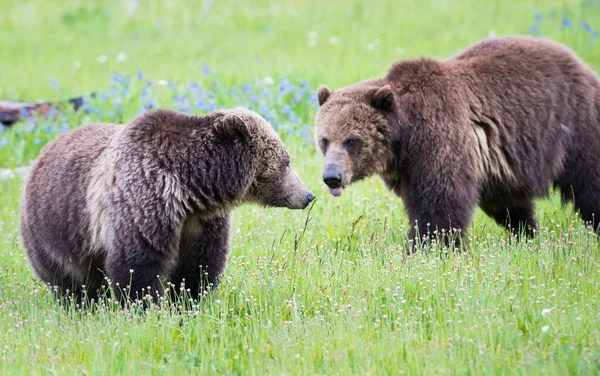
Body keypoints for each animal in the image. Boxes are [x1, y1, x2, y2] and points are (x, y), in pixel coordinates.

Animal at [21, 106, 316, 306]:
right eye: (286, 161)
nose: (308, 195)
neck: (187, 188)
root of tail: (41, 153)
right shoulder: (143, 203)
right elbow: (137, 264)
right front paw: (145, 306)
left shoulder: (201, 221)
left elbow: (199, 264)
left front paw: (188, 301)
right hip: (55, 230)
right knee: (68, 279)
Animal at [314, 35, 600, 250]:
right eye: (324, 140)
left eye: (351, 140)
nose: (332, 177)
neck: (402, 138)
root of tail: (579, 61)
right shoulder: (406, 167)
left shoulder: (437, 138)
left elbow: (439, 204)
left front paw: (424, 249)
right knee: (507, 202)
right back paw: (525, 233)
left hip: (574, 122)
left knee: (589, 181)